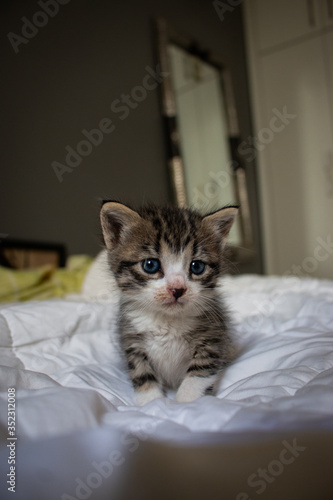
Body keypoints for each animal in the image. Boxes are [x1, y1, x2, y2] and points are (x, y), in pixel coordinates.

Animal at [100, 201, 237, 404]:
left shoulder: (213, 337)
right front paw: (152, 403)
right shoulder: (131, 339)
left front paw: (187, 401)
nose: (177, 289)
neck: (166, 320)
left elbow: (200, 372)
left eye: (197, 266)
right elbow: (141, 373)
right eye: (150, 265)